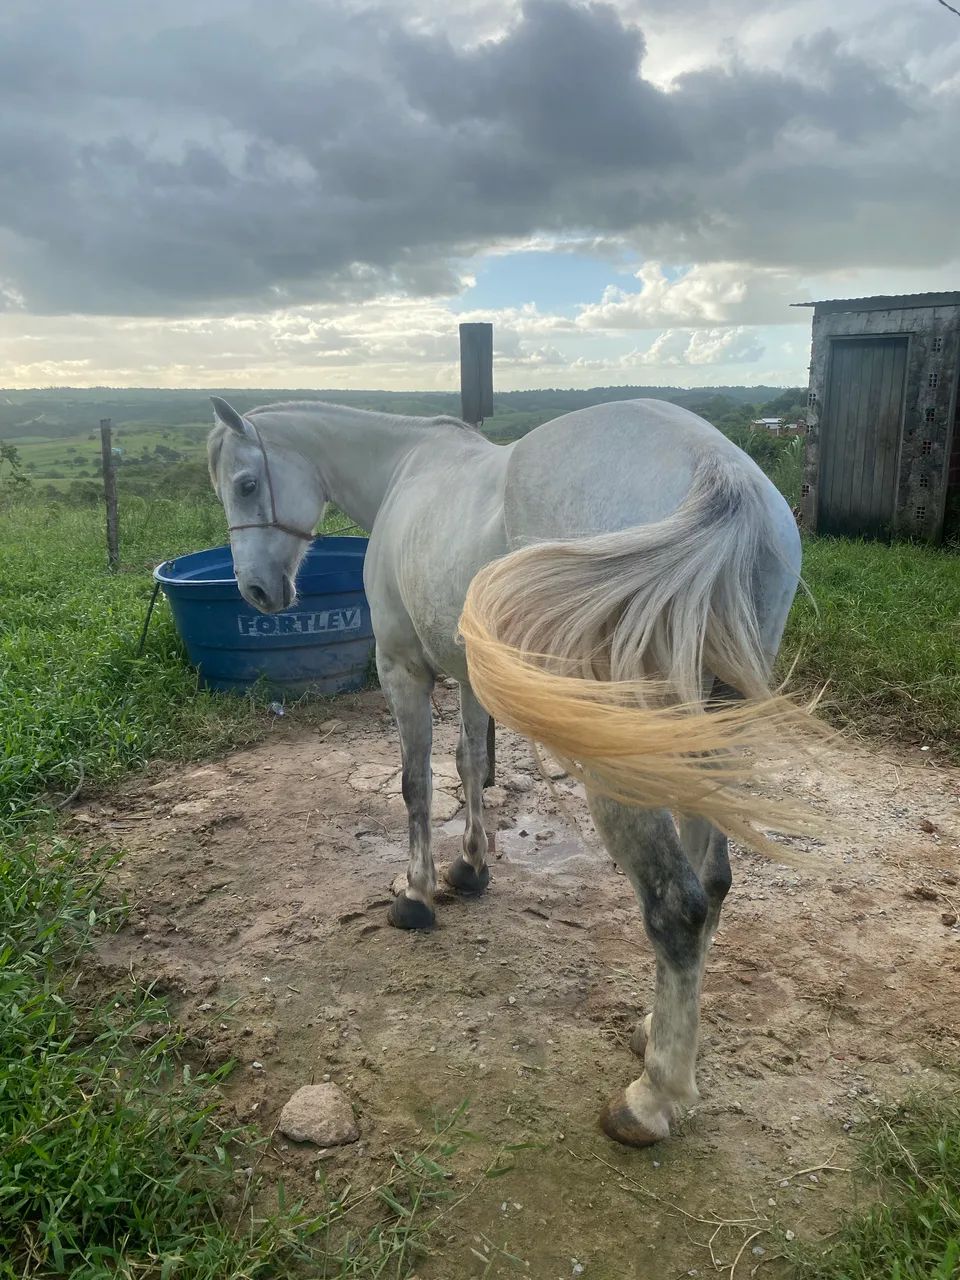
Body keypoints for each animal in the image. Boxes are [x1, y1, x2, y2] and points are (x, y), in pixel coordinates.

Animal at [207, 394, 820, 1147]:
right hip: (706, 731)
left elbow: (416, 782)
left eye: (245, 484)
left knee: (677, 906)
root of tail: (719, 475)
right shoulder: (473, 674)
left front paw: (416, 894)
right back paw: (657, 1032)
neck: (407, 470)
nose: (258, 591)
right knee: (713, 883)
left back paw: (652, 1098)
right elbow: (470, 764)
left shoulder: (402, 668)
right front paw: (470, 868)